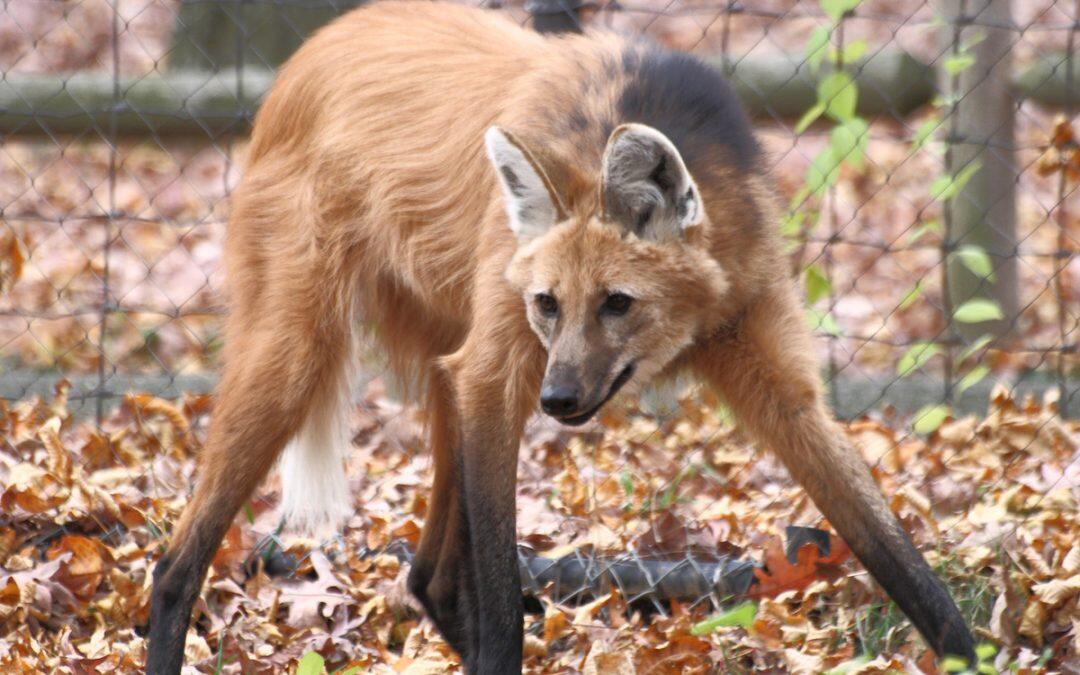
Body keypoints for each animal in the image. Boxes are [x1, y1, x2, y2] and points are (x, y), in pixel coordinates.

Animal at [145, 2, 980, 669]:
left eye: (618, 303)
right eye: (549, 303)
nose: (560, 398)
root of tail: (305, 54)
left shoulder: (773, 373)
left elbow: (896, 553)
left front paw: (968, 653)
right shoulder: (502, 372)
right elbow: (500, 594)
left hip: (452, 368)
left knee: (428, 575)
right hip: (305, 357)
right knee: (176, 563)